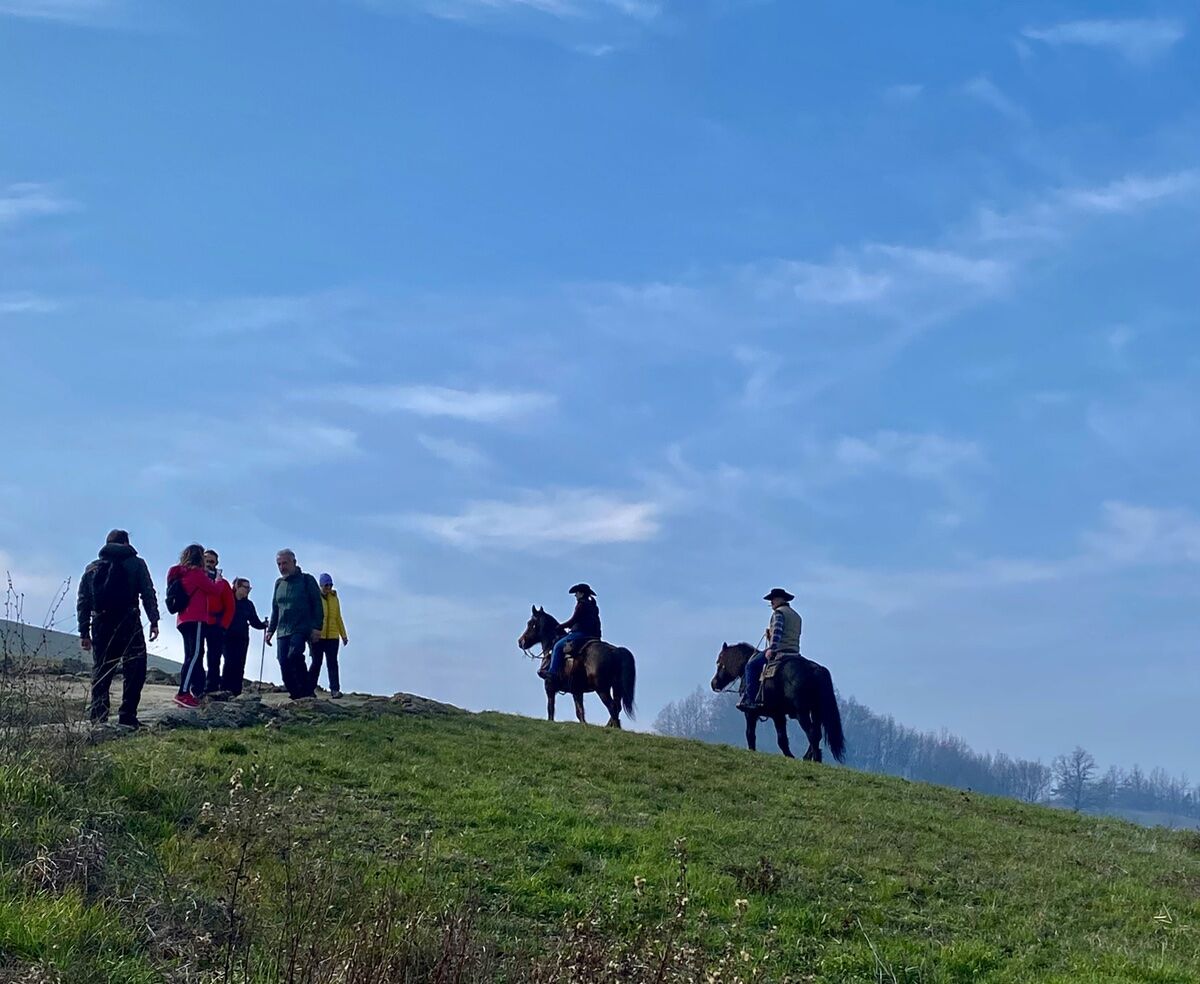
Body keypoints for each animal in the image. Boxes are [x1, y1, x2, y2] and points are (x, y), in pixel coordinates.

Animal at [710, 643, 844, 763]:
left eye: (719, 662)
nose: (714, 683)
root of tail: (816, 669)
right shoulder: (778, 715)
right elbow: (782, 738)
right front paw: (789, 756)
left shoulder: (750, 713)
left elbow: (750, 734)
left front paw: (753, 751)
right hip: (816, 712)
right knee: (817, 734)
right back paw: (808, 758)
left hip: (802, 713)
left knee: (812, 733)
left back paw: (816, 759)